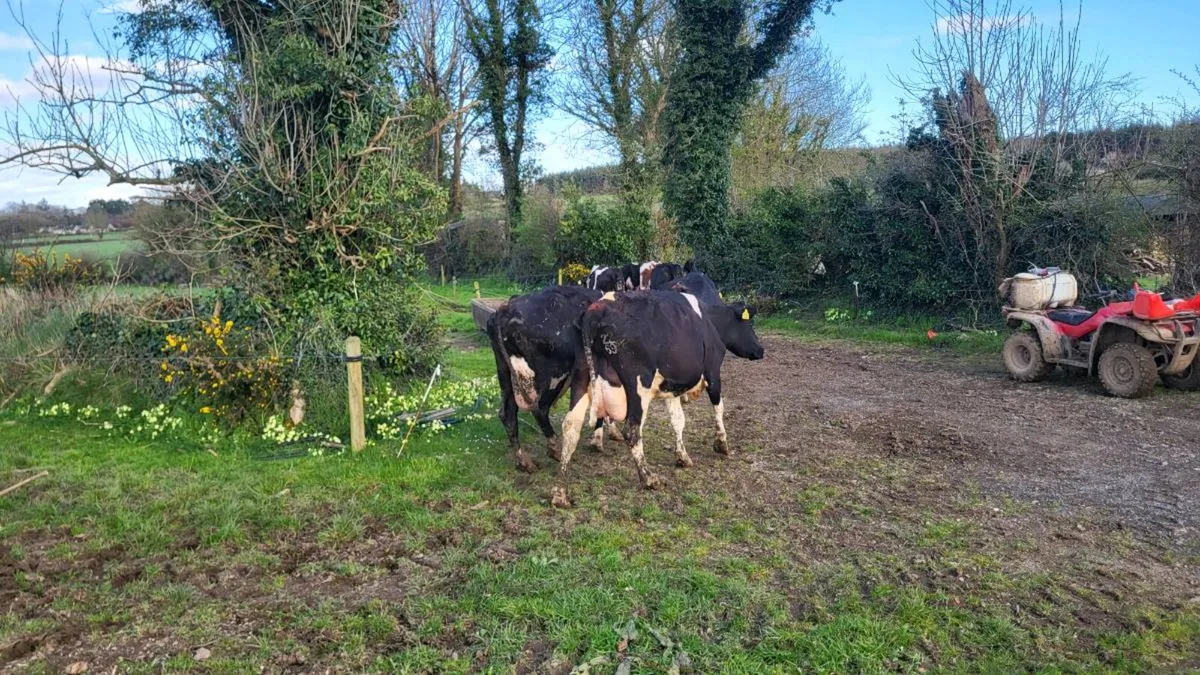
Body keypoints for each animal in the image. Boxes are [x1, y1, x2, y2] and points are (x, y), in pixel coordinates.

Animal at [486, 286, 624, 474]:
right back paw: (556, 451)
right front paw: (601, 438)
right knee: (539, 409)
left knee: (507, 414)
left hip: (506, 375)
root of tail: (507, 308)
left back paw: (524, 461)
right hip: (552, 376)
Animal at [552, 289, 764, 507]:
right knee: (632, 430)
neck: (709, 319)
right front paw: (722, 444)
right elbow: (718, 407)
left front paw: (682, 457)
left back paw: (560, 493)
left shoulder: (671, 387)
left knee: (570, 427)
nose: (761, 350)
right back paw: (649, 478)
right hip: (638, 385)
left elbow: (678, 420)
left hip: (581, 377)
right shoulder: (713, 372)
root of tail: (596, 310)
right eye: (749, 325)